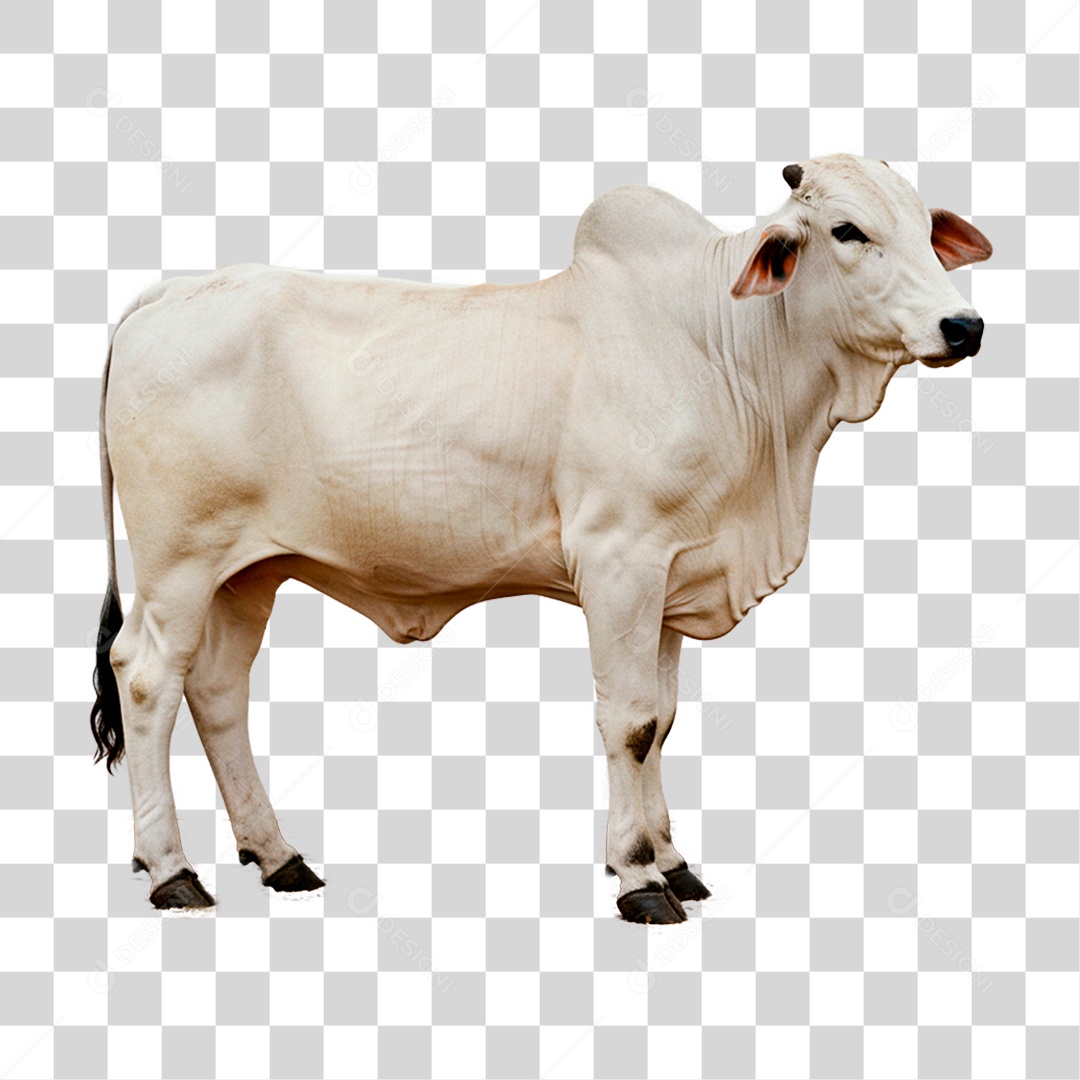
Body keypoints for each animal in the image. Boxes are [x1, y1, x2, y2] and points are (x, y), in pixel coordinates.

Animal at [91, 153, 992, 921]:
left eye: (925, 226)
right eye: (847, 231)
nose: (964, 325)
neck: (732, 356)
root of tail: (162, 296)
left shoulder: (673, 576)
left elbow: (663, 719)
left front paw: (674, 862)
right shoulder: (620, 561)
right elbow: (628, 722)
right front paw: (638, 876)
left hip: (250, 571)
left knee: (218, 691)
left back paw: (277, 855)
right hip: (177, 564)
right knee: (148, 680)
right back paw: (171, 869)